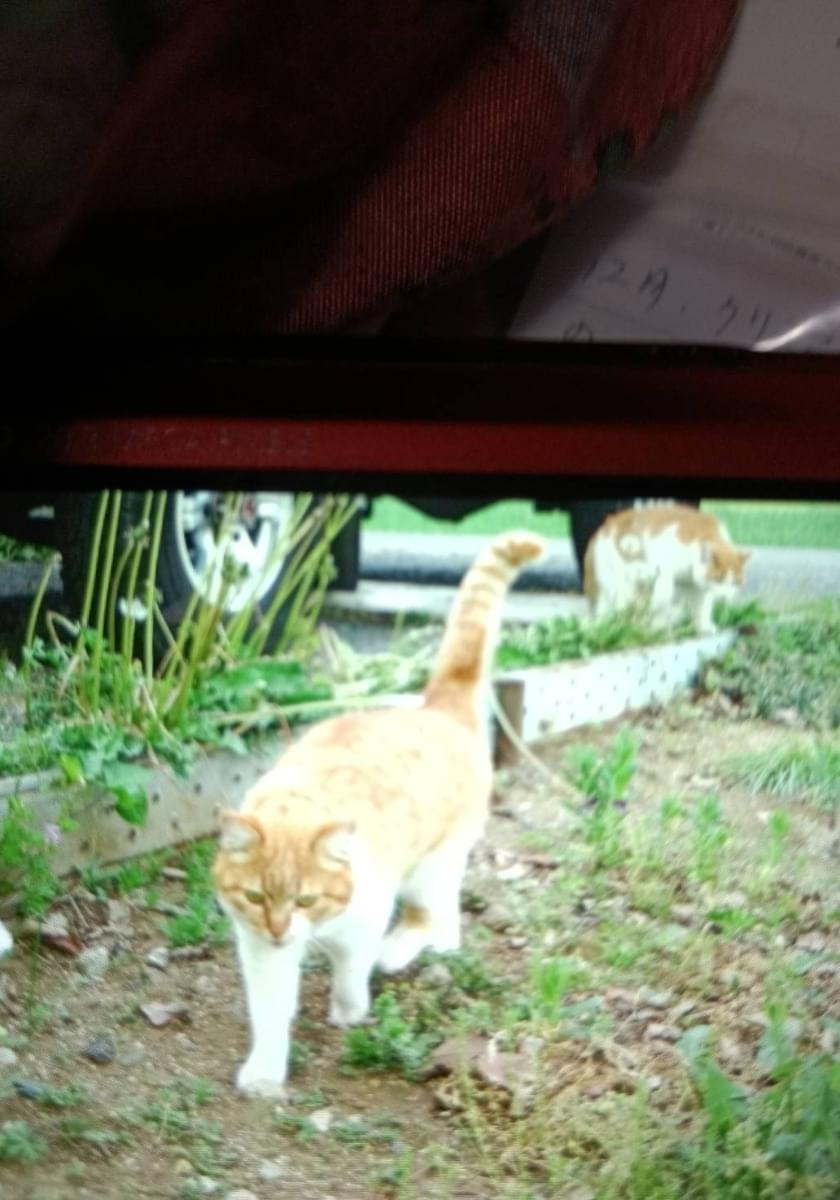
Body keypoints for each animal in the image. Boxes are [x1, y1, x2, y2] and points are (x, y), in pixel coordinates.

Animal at [214, 529, 546, 1098]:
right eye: (255, 897)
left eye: (306, 898)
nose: (280, 931)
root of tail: (436, 709)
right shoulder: (259, 948)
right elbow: (271, 1010)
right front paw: (265, 1070)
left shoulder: (364, 918)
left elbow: (352, 973)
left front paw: (349, 1010)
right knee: (447, 915)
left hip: (430, 866)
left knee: (433, 915)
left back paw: (406, 949)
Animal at [583, 503, 749, 635]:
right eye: (719, 579)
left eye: (735, 582)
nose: (725, 597)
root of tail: (603, 527)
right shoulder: (663, 561)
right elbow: (664, 593)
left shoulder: (698, 587)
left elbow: (703, 607)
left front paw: (704, 627)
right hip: (621, 581)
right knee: (620, 609)